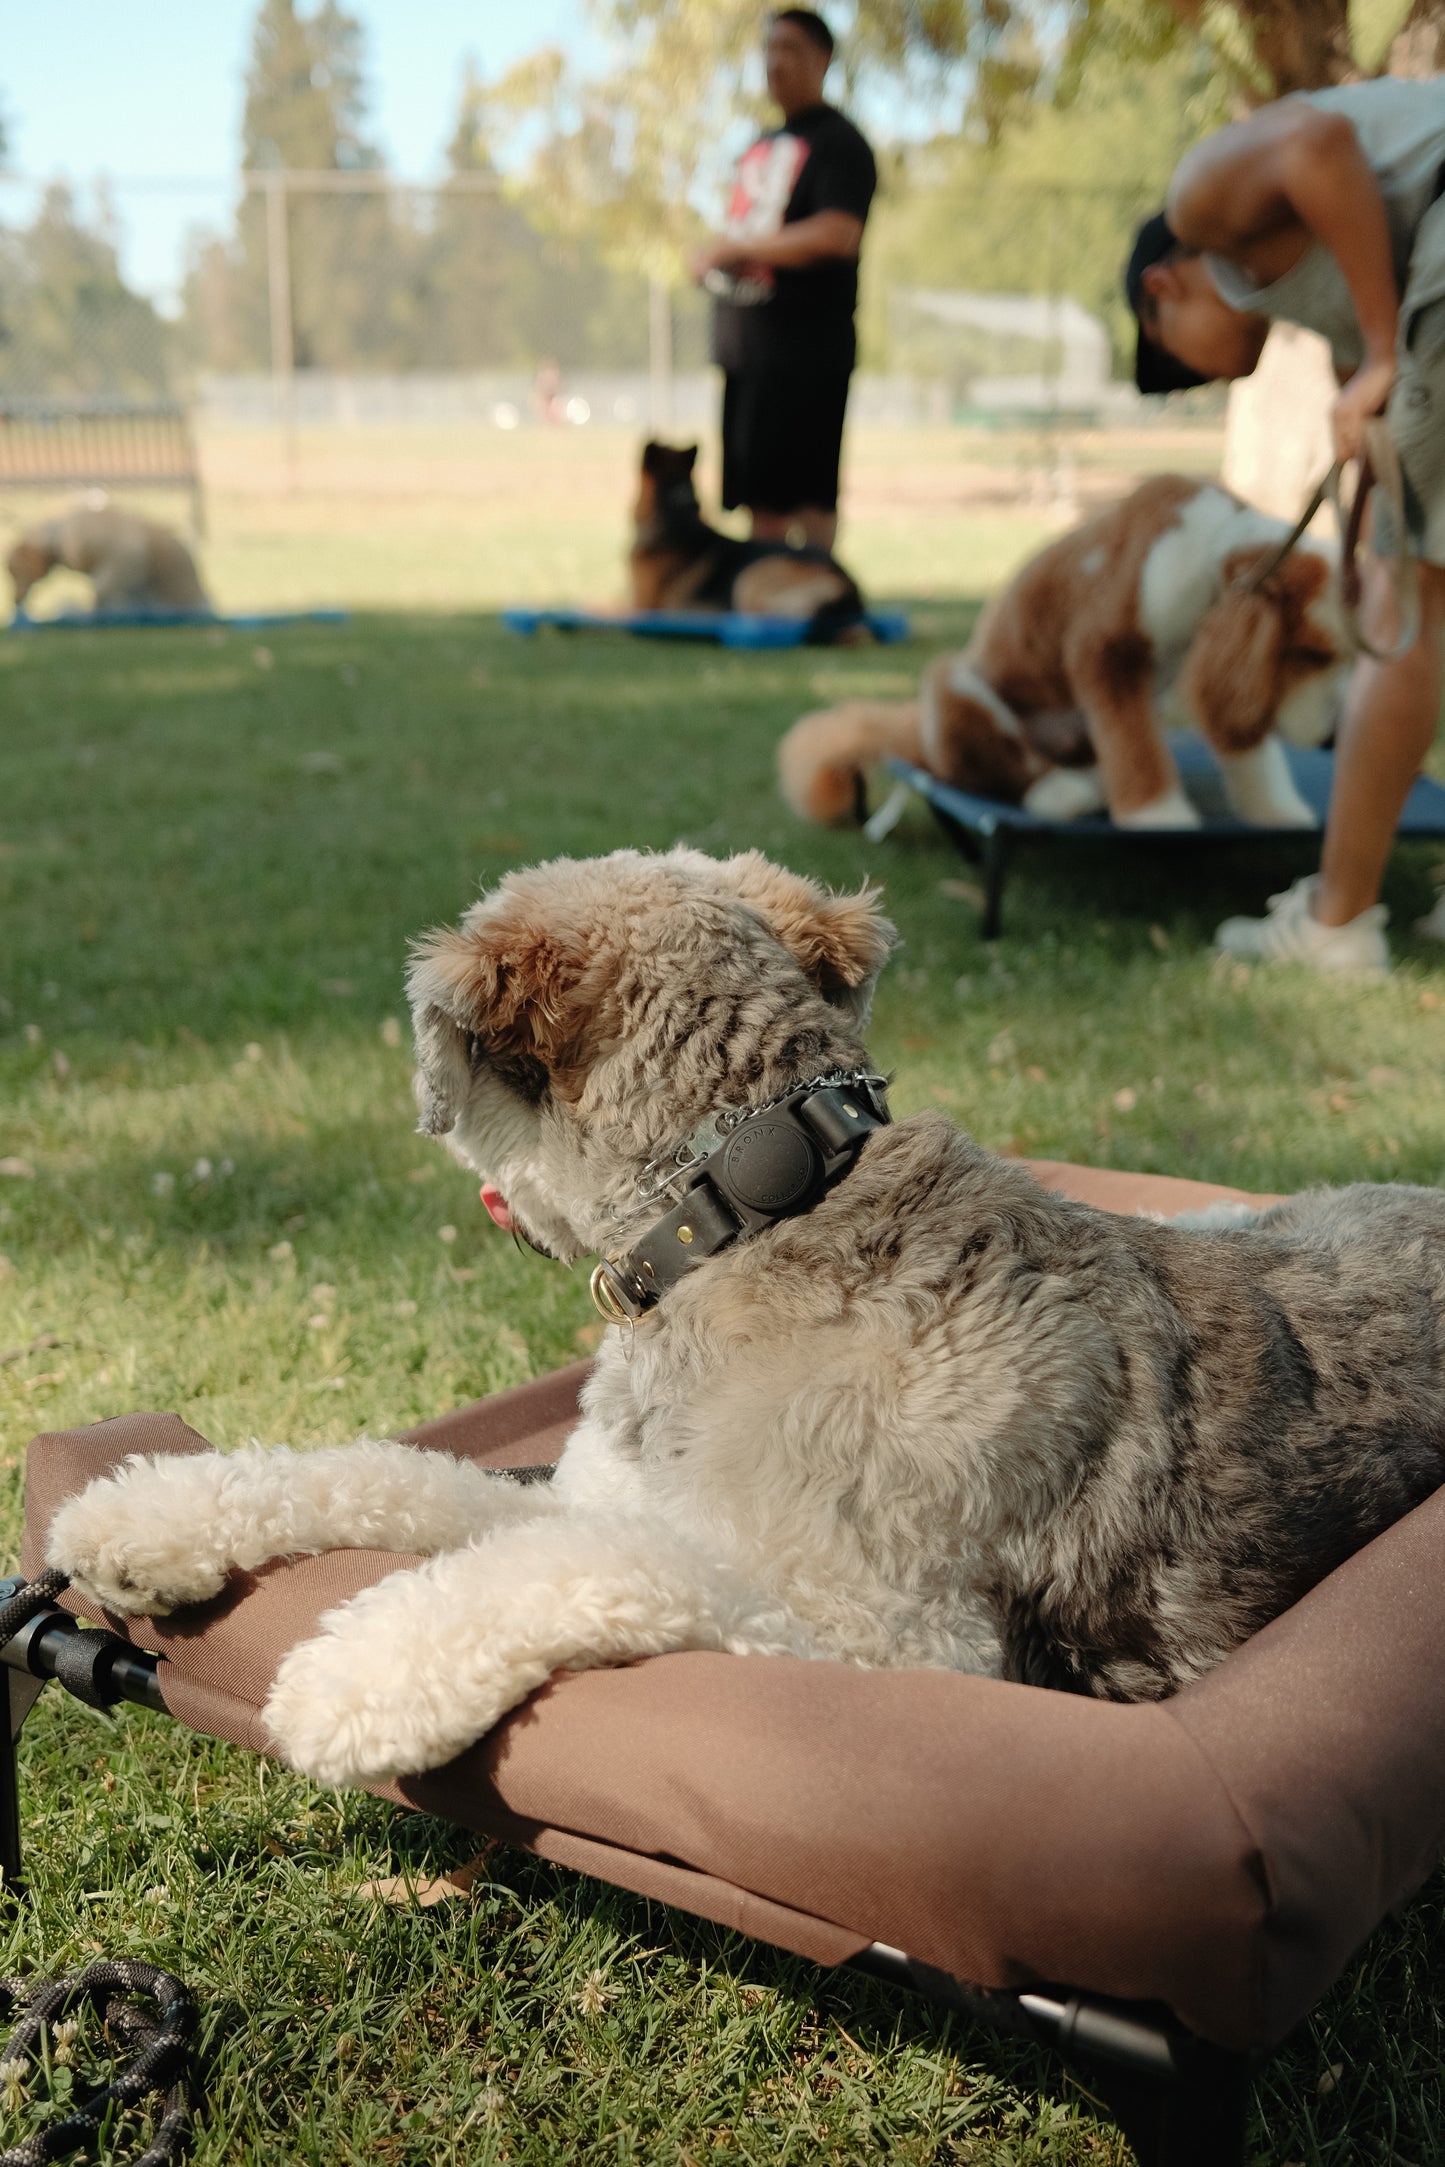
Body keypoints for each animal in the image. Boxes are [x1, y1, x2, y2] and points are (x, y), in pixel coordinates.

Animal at [50, 845, 1445, 1776]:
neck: (749, 1216)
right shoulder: (590, 1488)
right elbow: (388, 1475)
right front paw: (144, 1518)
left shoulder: (891, 1633)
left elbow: (600, 1570)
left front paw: (360, 1673)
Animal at [784, 474, 1351, 827]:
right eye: (1311, 654)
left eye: (1346, 661)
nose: (1331, 740)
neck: (1215, 549)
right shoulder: (1106, 651)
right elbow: (1133, 740)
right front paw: (1157, 815)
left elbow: (1244, 743)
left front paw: (1275, 810)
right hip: (954, 689)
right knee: (1008, 773)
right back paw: (1060, 793)